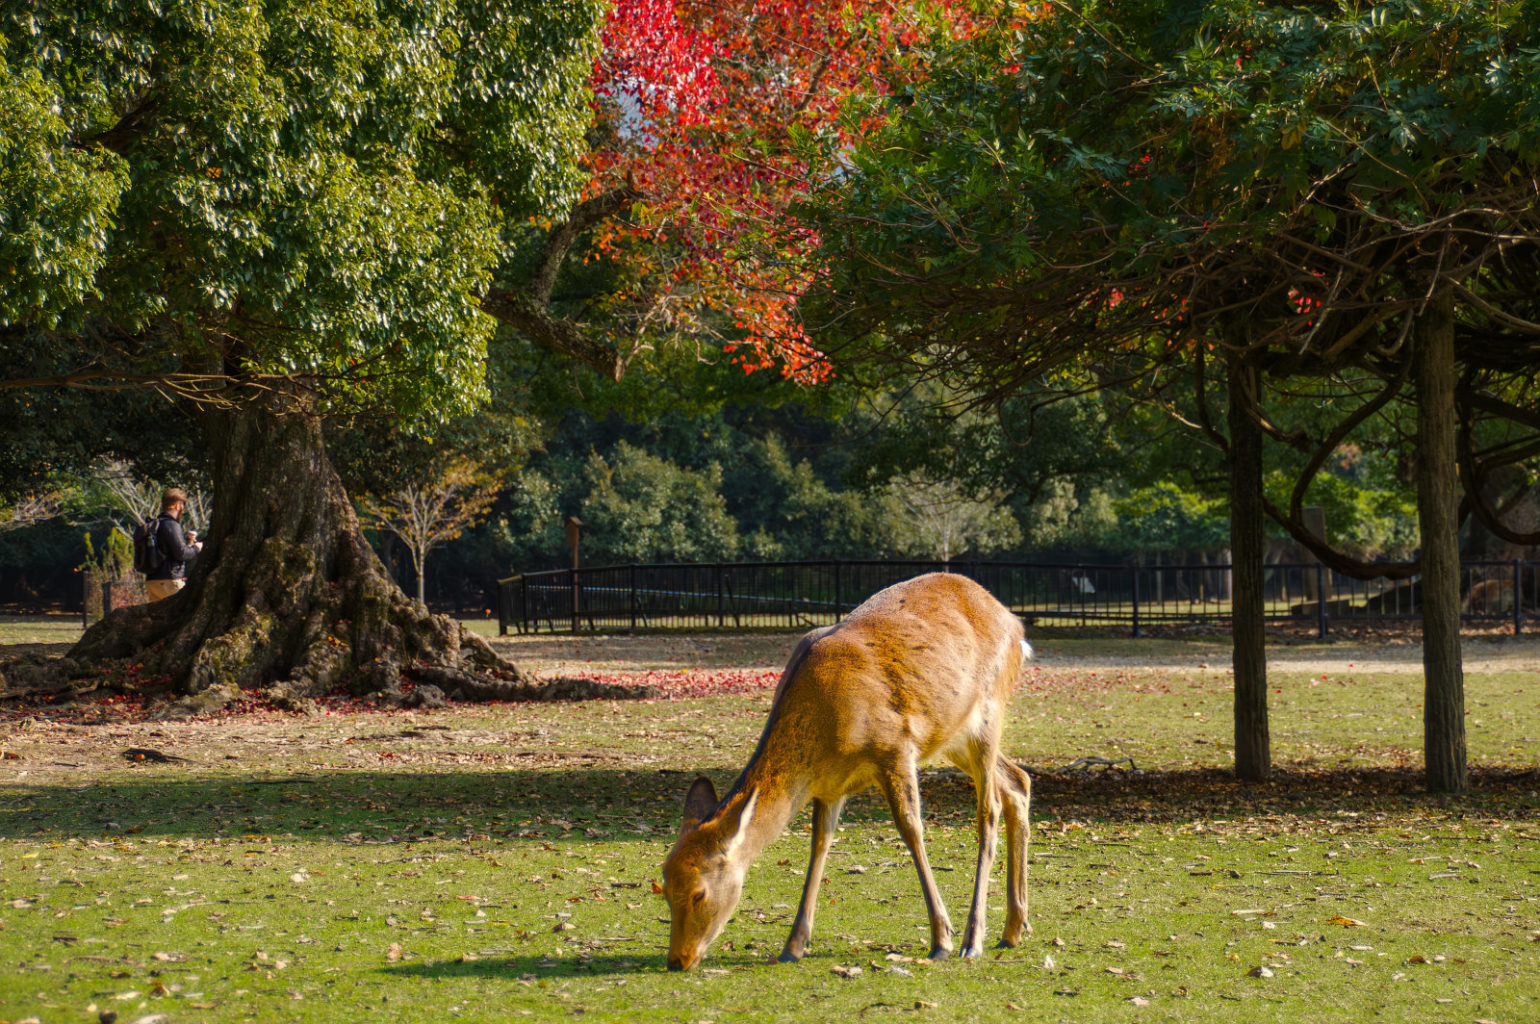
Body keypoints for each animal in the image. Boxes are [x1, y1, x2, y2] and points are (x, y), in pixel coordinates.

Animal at [662, 569, 1034, 973]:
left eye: (699, 893)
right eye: (663, 887)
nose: (678, 959)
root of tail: (1015, 624)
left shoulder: (896, 748)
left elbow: (911, 830)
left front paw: (941, 939)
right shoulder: (829, 786)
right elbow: (820, 843)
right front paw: (793, 945)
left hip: (989, 711)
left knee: (989, 808)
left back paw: (973, 938)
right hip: (953, 734)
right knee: (1018, 781)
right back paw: (1015, 928)